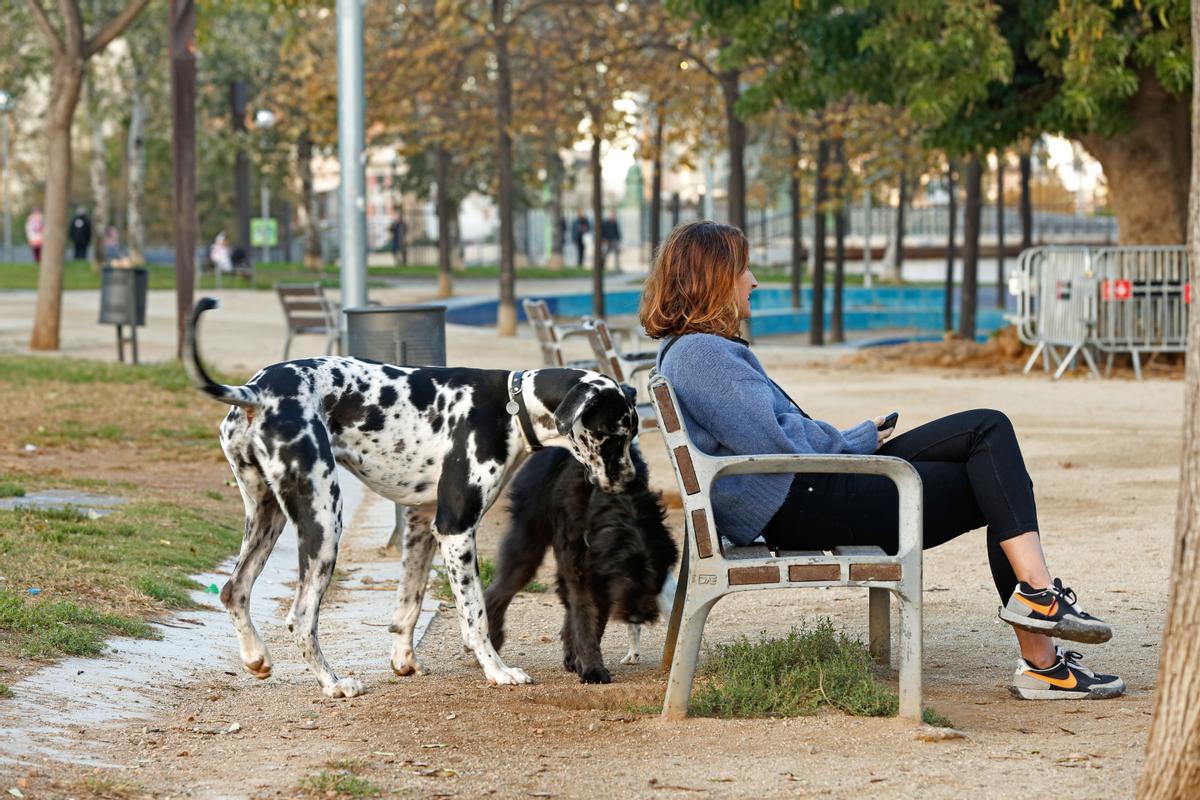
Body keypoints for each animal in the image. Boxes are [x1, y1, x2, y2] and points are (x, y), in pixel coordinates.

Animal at [184, 297, 638, 695]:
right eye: (614, 433)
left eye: (632, 432)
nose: (630, 481)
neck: (512, 407)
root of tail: (255, 391)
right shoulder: (456, 529)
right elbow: (475, 615)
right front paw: (497, 671)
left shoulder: (423, 523)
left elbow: (410, 602)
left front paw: (404, 660)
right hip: (323, 523)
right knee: (300, 617)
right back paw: (333, 684)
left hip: (267, 516)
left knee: (235, 589)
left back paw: (256, 658)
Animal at [484, 443, 676, 681]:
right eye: (626, 576)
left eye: (653, 579)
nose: (637, 616)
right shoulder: (585, 573)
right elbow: (585, 617)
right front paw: (593, 669)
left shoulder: (602, 579)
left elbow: (592, 620)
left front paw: (582, 661)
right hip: (527, 546)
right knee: (501, 589)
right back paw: (493, 636)